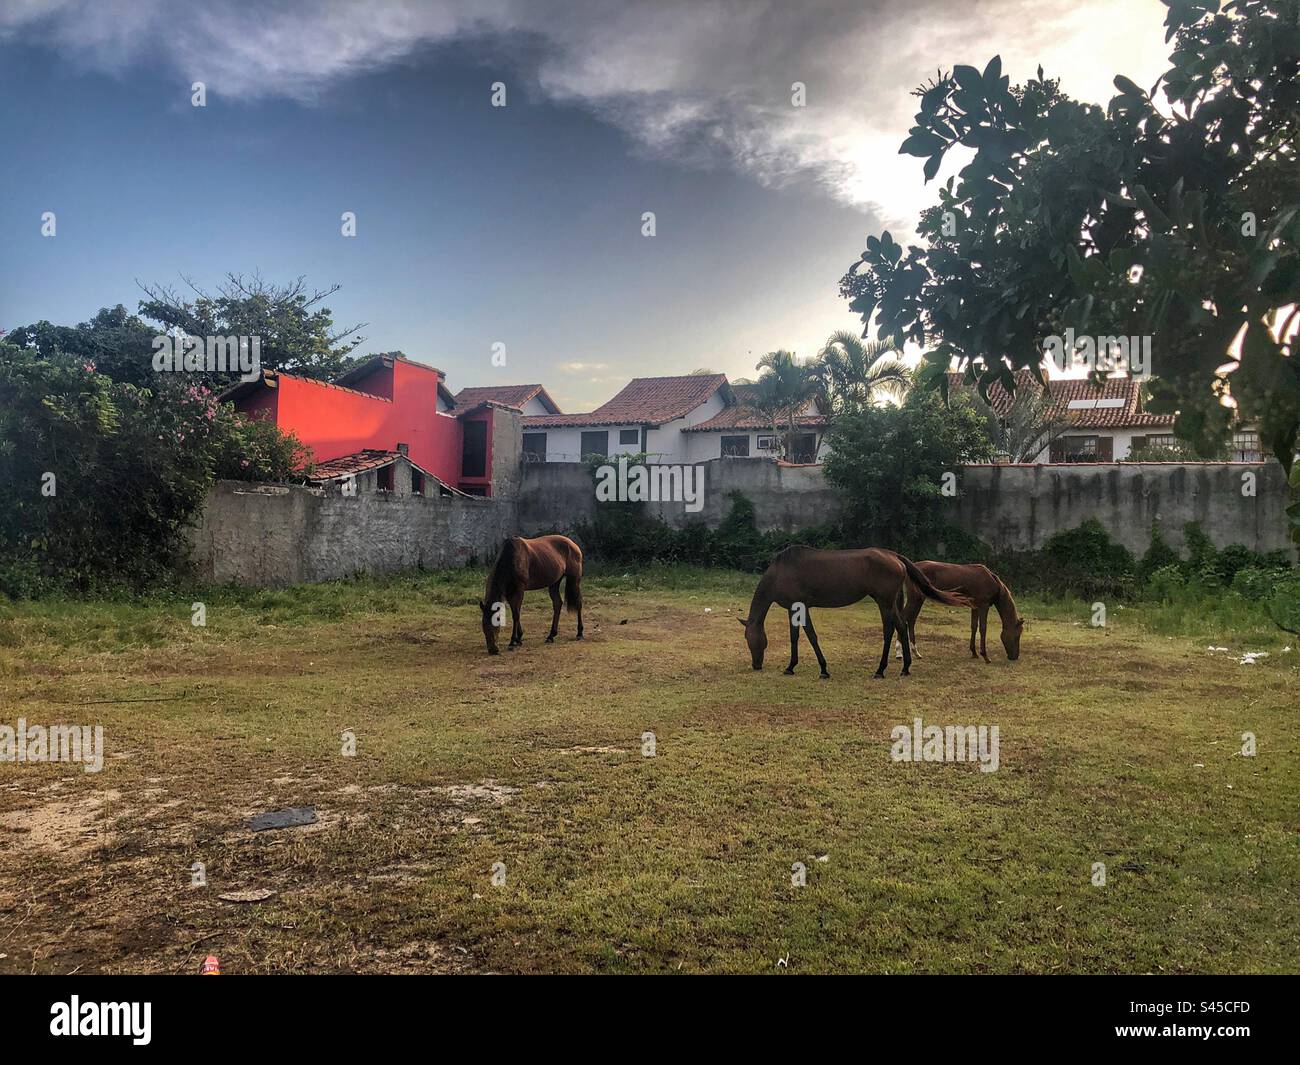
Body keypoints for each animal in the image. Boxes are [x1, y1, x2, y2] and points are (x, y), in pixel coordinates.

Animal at [738, 546, 973, 679]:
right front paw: (791, 666)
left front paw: (823, 669)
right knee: (901, 626)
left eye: (749, 639)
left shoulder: (801, 606)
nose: (756, 665)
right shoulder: (794, 608)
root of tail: (894, 555)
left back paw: (880, 670)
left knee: (889, 630)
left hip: (884, 603)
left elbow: (811, 636)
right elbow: (795, 636)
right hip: (891, 603)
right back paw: (905, 667)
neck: (781, 572)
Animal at [895, 561, 1023, 662]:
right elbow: (983, 629)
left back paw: (916, 652)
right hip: (915, 599)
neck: (992, 581)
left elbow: (974, 626)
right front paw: (985, 656)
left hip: (918, 600)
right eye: (1017, 635)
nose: (1015, 657)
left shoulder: (975, 607)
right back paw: (899, 652)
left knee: (911, 621)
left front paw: (974, 653)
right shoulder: (983, 606)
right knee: (904, 618)